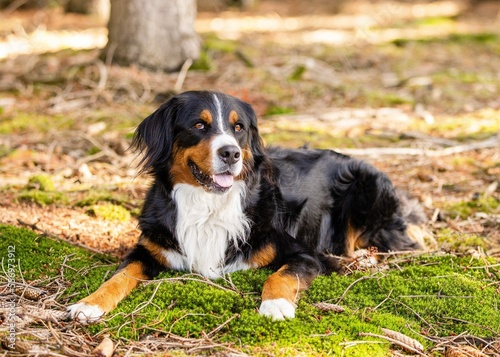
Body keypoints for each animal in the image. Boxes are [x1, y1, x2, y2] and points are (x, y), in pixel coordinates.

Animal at [67, 90, 426, 322]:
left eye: (238, 128)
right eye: (199, 125)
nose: (231, 153)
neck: (208, 205)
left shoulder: (304, 253)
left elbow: (280, 276)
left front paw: (276, 306)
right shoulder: (148, 249)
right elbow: (119, 276)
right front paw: (90, 304)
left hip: (365, 188)